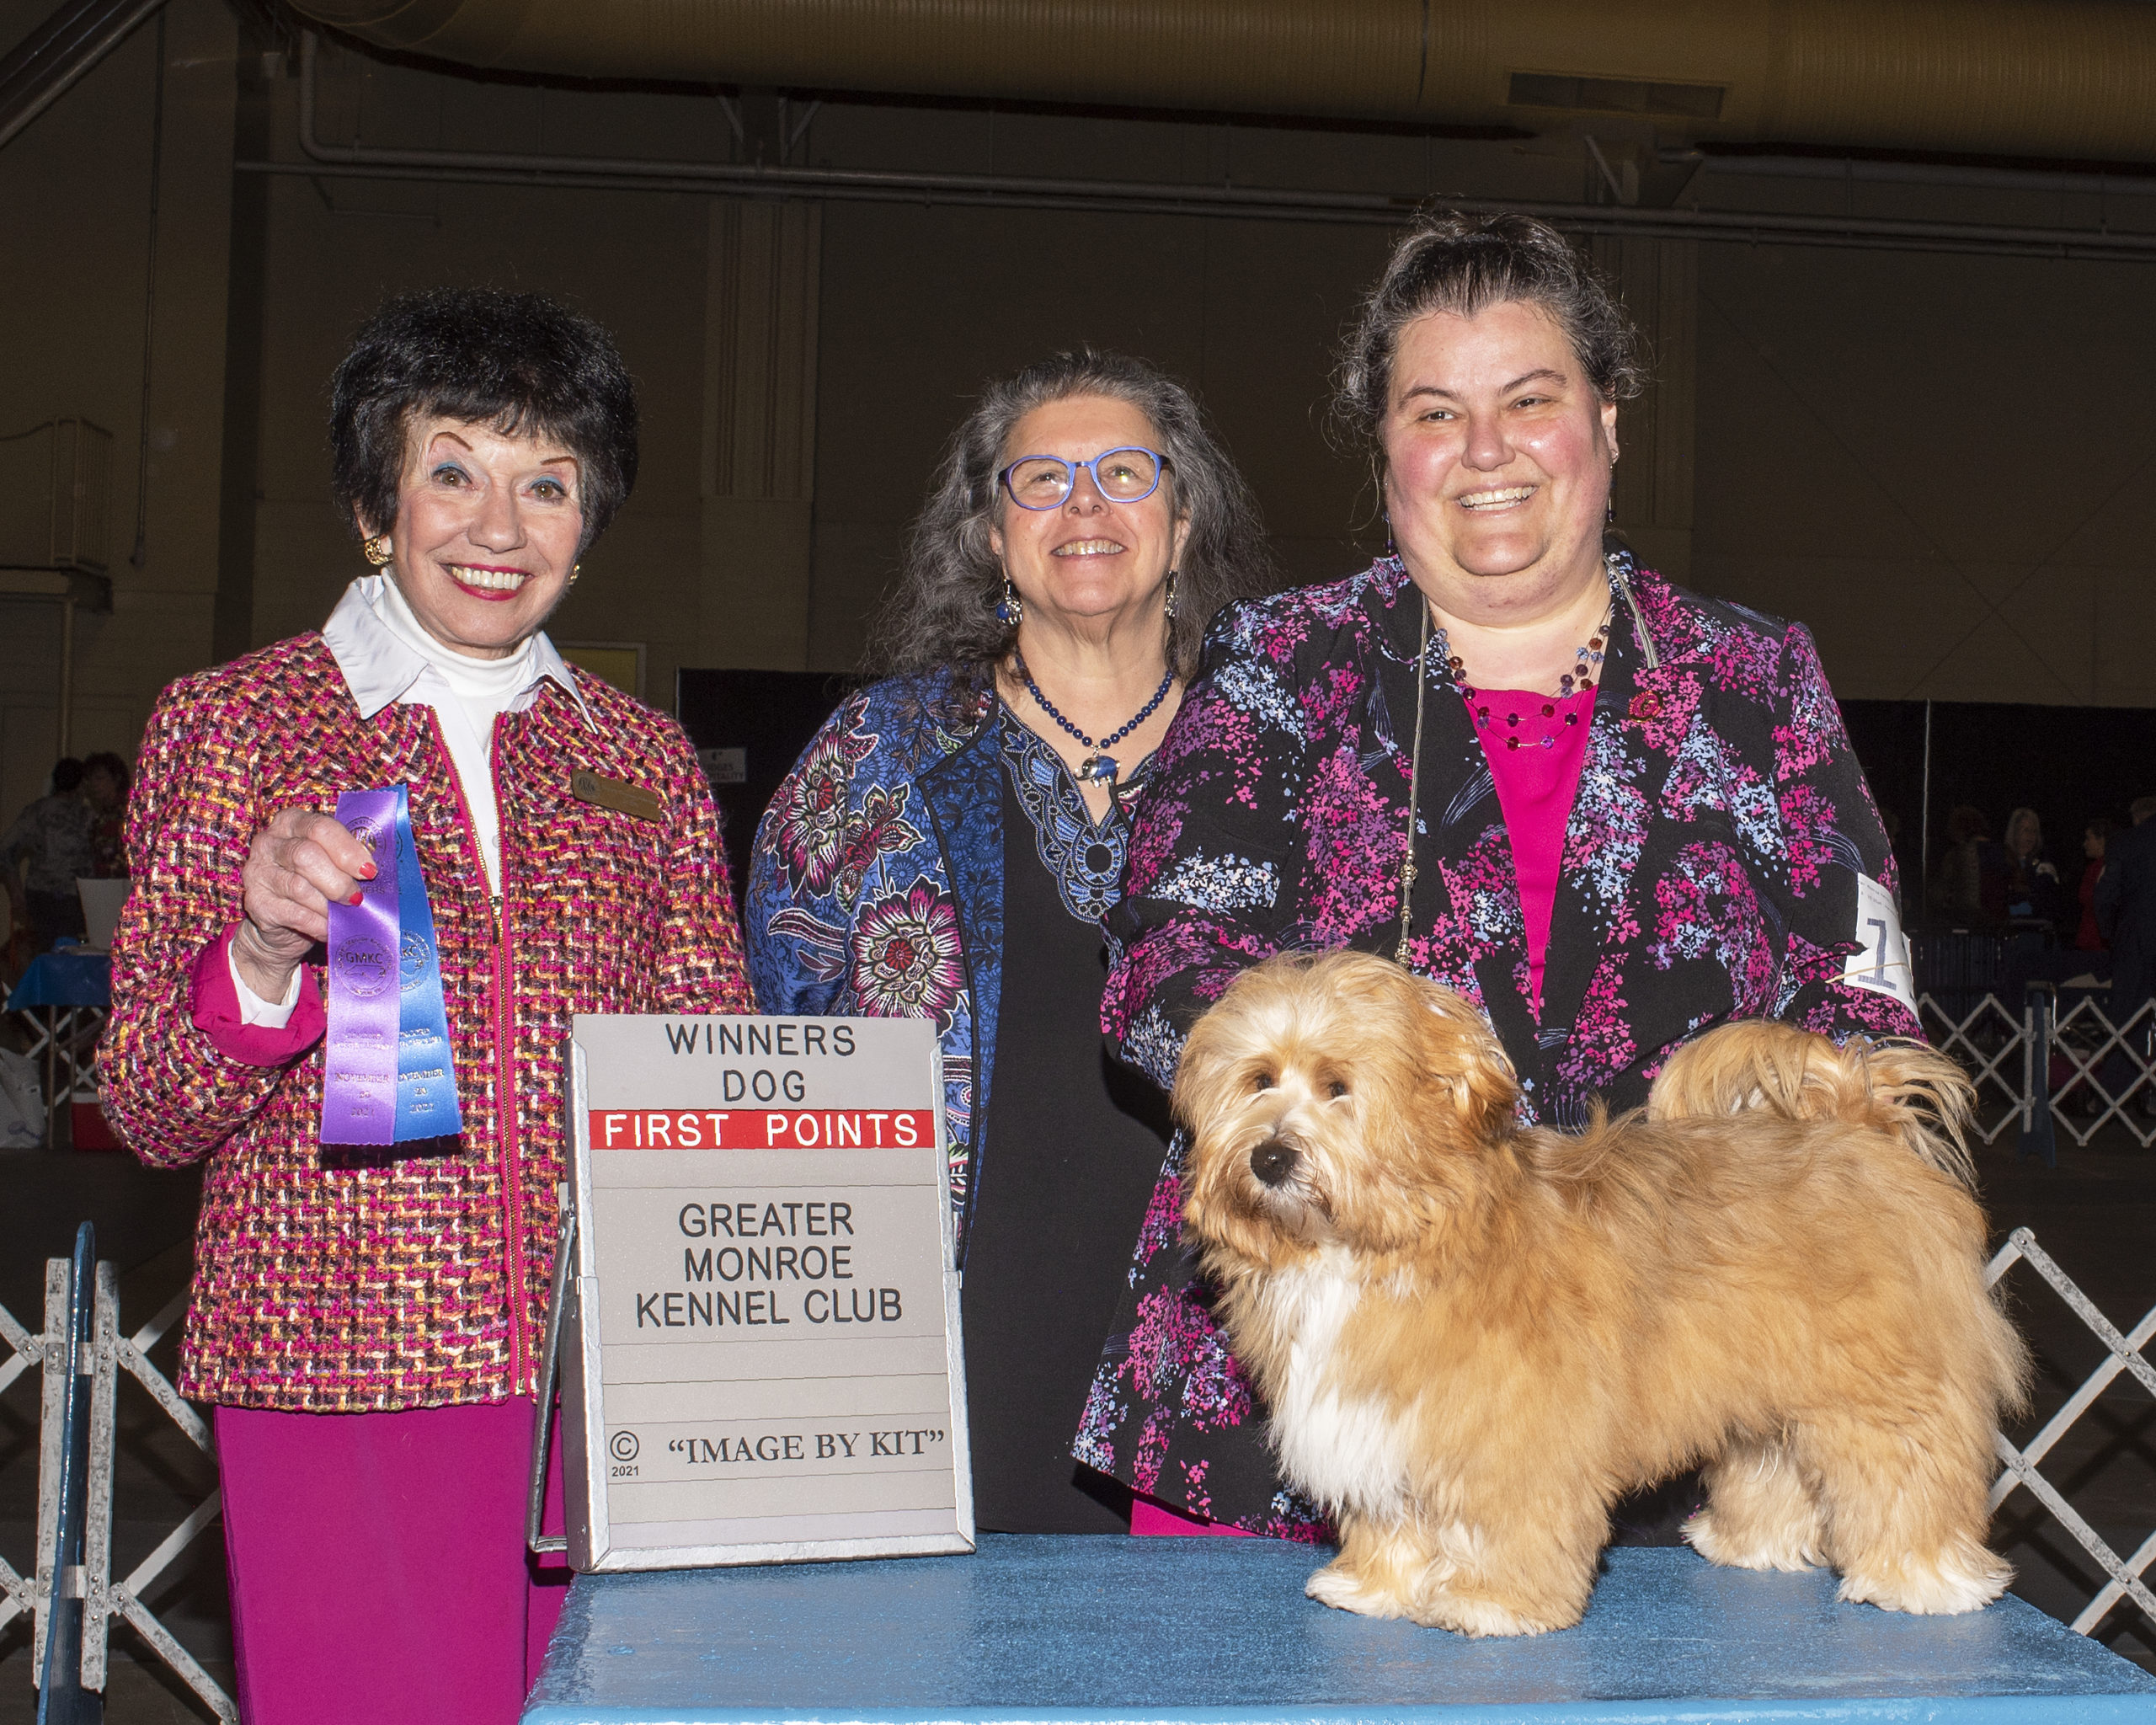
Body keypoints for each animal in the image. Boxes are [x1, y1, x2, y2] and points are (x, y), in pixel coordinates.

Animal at [1172, 948, 2026, 1638]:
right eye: (1258, 1080)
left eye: (1339, 1088)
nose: (1271, 1158)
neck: (1394, 1237)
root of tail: (1859, 1122)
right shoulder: (1383, 1423)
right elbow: (1392, 1515)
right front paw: (1377, 1586)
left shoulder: (1514, 1433)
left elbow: (1508, 1524)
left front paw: (1492, 1603)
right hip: (1775, 1383)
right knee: (1778, 1463)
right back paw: (1754, 1545)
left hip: (1884, 1388)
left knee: (1910, 1475)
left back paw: (1926, 1578)